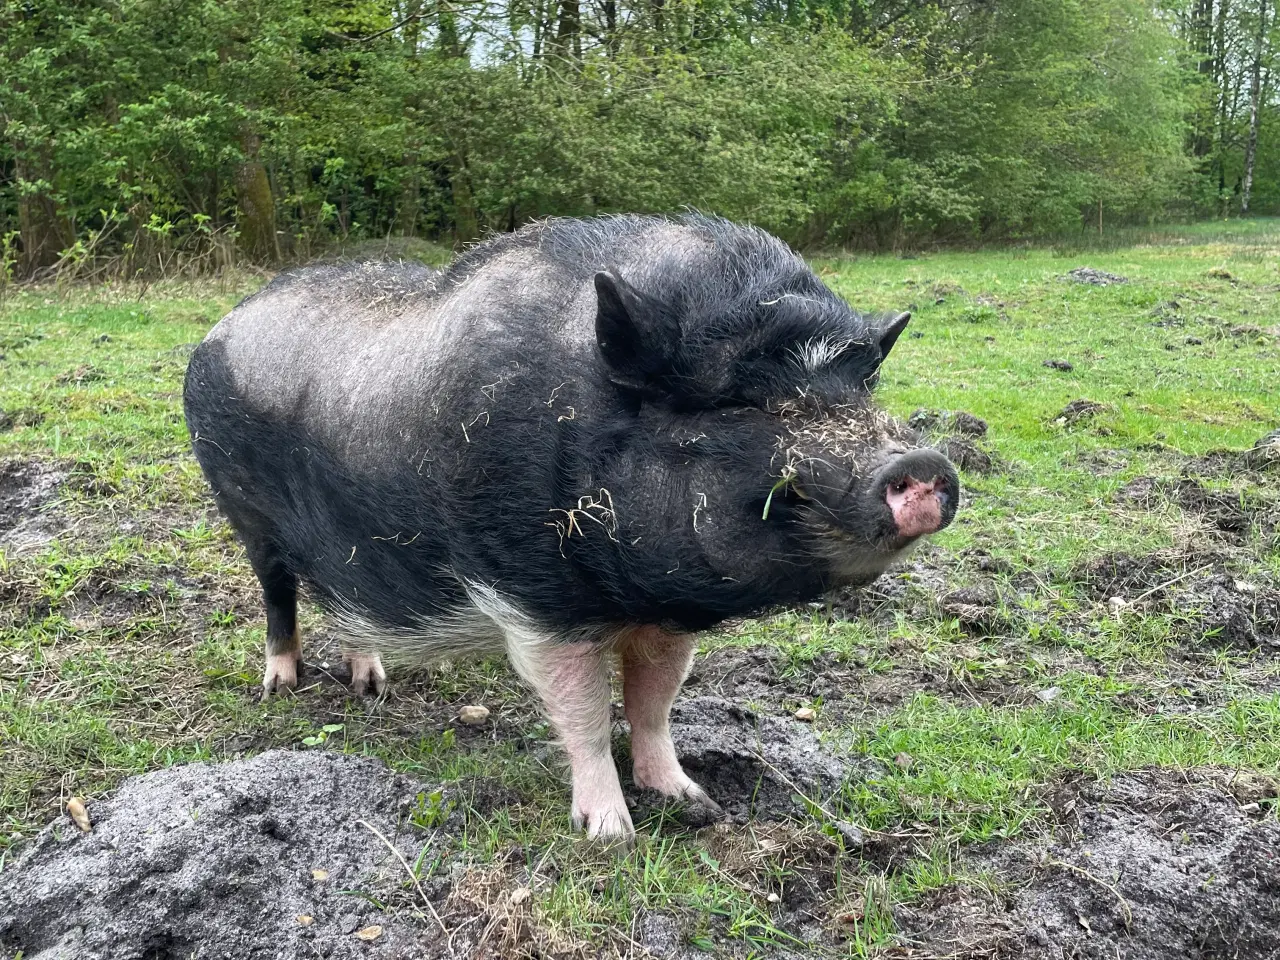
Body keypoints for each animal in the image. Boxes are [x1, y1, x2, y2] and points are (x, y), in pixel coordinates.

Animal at [183, 216, 962, 839]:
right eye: (738, 403)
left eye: (862, 390)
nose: (922, 463)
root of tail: (222, 322)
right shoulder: (537, 601)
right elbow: (584, 714)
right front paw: (611, 835)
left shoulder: (666, 612)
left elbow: (654, 704)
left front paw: (694, 801)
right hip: (243, 513)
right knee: (279, 597)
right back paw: (280, 686)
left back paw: (369, 684)